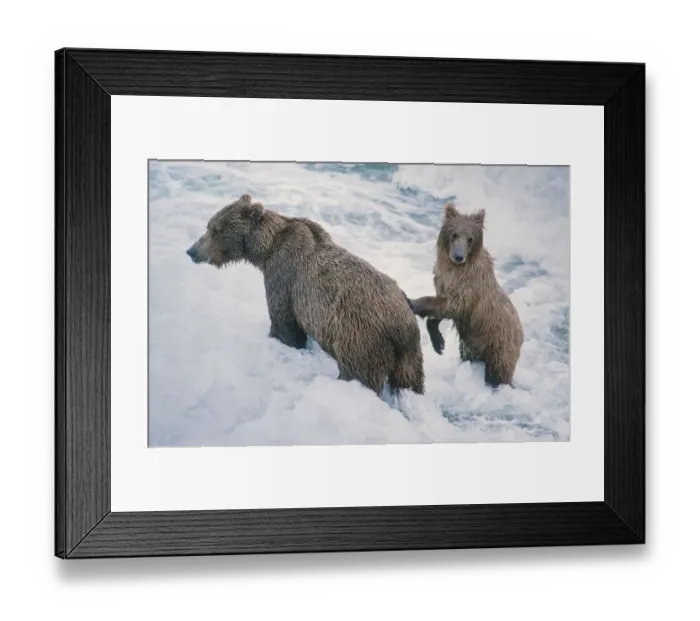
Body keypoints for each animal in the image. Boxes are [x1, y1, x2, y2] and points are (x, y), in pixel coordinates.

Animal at [186, 193, 425, 397]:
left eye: (216, 229)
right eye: (209, 225)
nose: (192, 251)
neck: (266, 249)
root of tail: (403, 326)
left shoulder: (285, 278)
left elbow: (284, 323)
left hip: (359, 335)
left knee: (359, 372)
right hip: (409, 356)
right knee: (410, 381)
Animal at [408, 202, 524, 388]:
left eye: (470, 238)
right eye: (454, 234)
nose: (458, 256)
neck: (454, 269)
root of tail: (521, 335)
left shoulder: (469, 286)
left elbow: (453, 305)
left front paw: (412, 301)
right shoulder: (443, 281)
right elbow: (445, 307)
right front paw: (439, 342)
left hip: (499, 345)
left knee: (497, 372)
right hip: (473, 345)